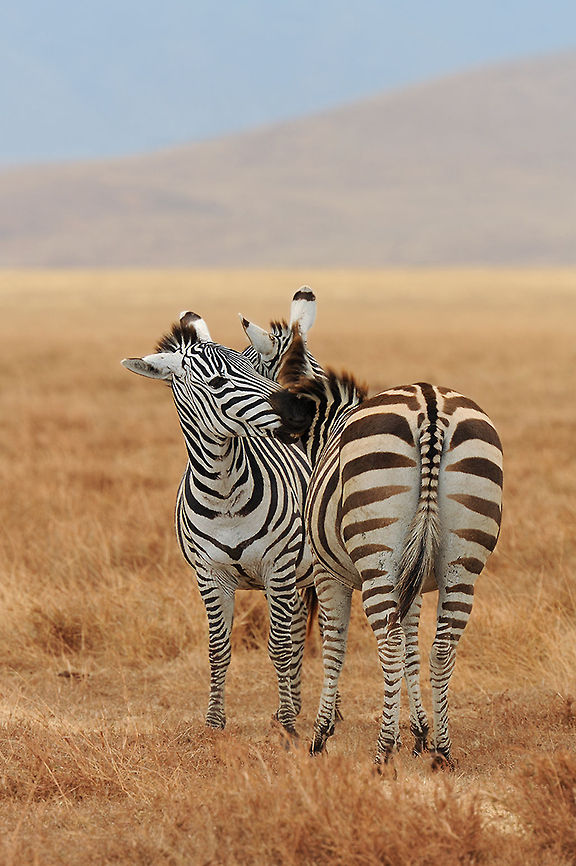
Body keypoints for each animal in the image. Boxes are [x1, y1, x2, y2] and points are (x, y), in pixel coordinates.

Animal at [121, 311, 315, 736]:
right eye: (217, 383)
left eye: (251, 370)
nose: (302, 411)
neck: (224, 491)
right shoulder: (210, 575)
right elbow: (218, 648)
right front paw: (214, 721)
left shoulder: (278, 567)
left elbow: (278, 646)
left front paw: (288, 726)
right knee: (298, 624)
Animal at [252, 329, 503, 767]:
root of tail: (430, 404)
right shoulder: (414, 583)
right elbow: (411, 648)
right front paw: (419, 733)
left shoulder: (328, 574)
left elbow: (335, 646)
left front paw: (322, 735)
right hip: (463, 559)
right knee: (441, 647)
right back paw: (443, 752)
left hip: (376, 560)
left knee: (387, 640)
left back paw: (382, 753)